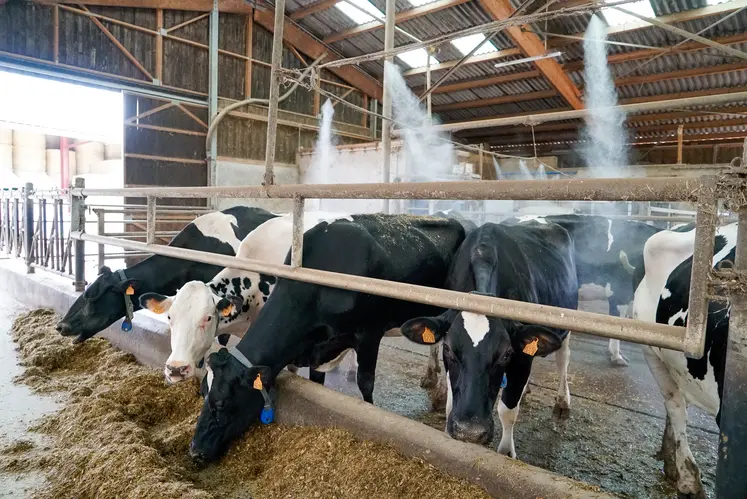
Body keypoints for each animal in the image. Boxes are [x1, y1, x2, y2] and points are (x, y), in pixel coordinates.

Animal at [188, 213, 468, 464]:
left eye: (221, 403)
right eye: (203, 392)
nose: (195, 451)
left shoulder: (369, 333)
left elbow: (366, 383)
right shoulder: (319, 348)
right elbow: (317, 380)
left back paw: (438, 390)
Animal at [396, 221, 578, 456]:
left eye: (506, 353)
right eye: (448, 348)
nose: (470, 432)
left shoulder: (521, 358)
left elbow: (507, 410)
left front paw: (506, 453)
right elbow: (450, 402)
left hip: (566, 322)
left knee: (563, 358)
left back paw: (562, 402)